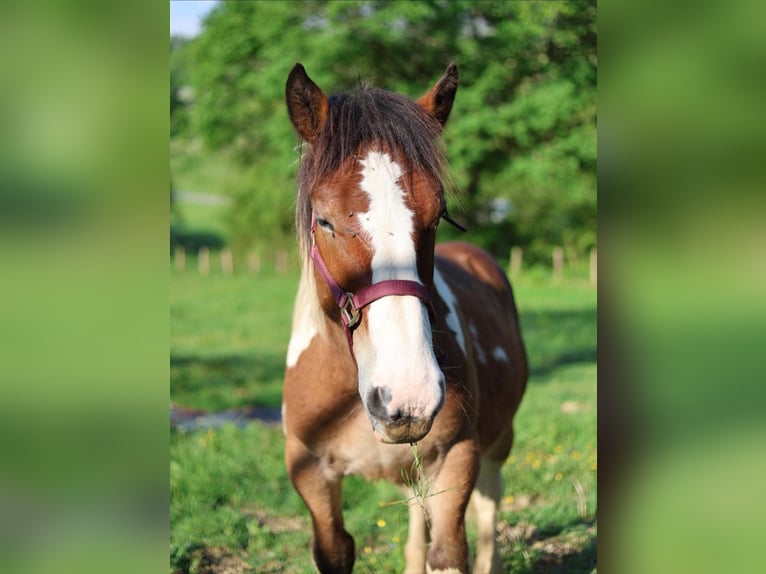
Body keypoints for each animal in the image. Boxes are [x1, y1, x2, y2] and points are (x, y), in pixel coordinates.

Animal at [282, 62, 528, 574]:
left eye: (437, 216)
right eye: (325, 221)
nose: (408, 393)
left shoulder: (458, 457)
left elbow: (451, 549)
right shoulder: (310, 473)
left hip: (498, 443)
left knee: (490, 506)